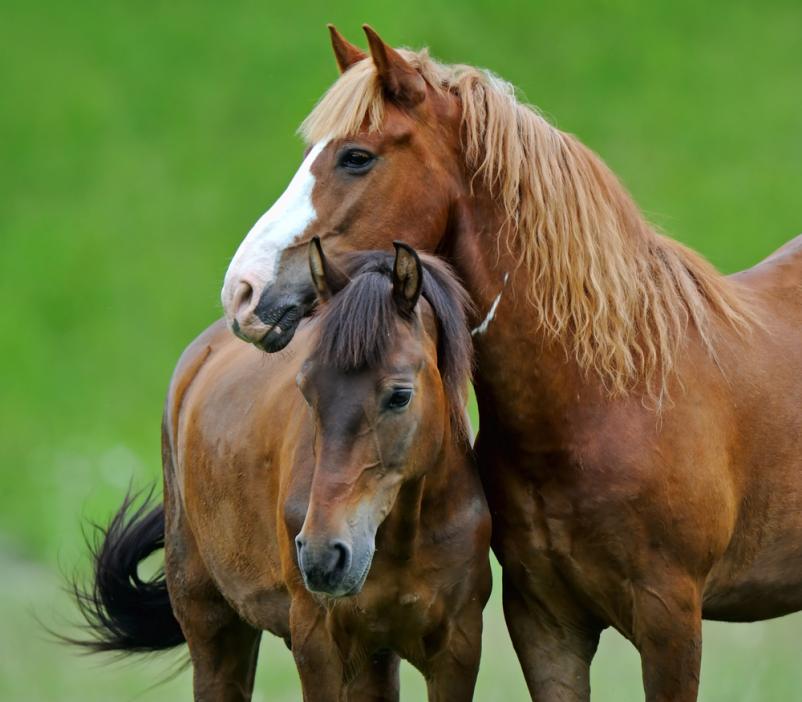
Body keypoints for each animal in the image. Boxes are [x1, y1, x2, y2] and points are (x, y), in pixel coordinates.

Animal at [72, 241, 492, 701]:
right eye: (306, 390)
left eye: (400, 396)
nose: (323, 554)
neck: (405, 537)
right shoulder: (317, 644)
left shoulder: (456, 648)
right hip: (214, 629)